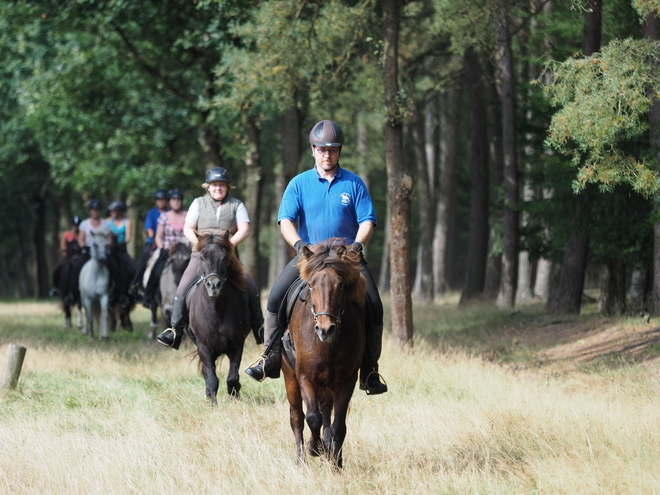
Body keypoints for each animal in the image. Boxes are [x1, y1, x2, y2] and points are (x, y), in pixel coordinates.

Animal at [187, 232, 251, 404]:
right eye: (202, 257)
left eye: (224, 257)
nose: (214, 285)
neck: (216, 312)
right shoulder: (203, 346)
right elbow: (211, 378)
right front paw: (213, 403)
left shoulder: (237, 344)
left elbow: (232, 376)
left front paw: (234, 395)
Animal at [282, 240, 368, 468]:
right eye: (311, 285)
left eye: (341, 285)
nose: (325, 329)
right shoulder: (305, 377)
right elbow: (312, 418)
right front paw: (315, 447)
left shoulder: (347, 381)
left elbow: (338, 426)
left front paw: (336, 463)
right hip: (290, 376)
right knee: (297, 417)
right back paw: (302, 460)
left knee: (327, 413)